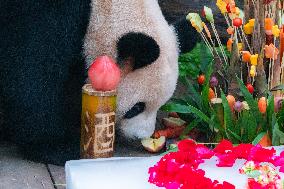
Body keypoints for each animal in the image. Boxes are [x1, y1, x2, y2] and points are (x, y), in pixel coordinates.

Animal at [0, 0, 199, 165]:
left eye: (161, 105)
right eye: (136, 108)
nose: (141, 136)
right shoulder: (43, 15)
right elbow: (32, 73)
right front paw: (58, 146)